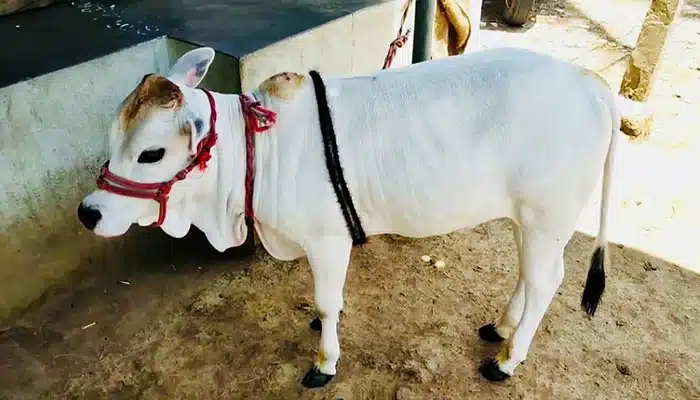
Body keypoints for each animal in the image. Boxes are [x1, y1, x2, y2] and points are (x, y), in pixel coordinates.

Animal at [77, 45, 641, 388]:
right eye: (110, 138)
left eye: (151, 154)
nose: (88, 212)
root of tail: (588, 80)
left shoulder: (328, 239)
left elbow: (327, 303)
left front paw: (324, 362)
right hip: (528, 216)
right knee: (528, 272)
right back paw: (501, 327)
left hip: (549, 214)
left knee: (547, 279)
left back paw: (507, 359)